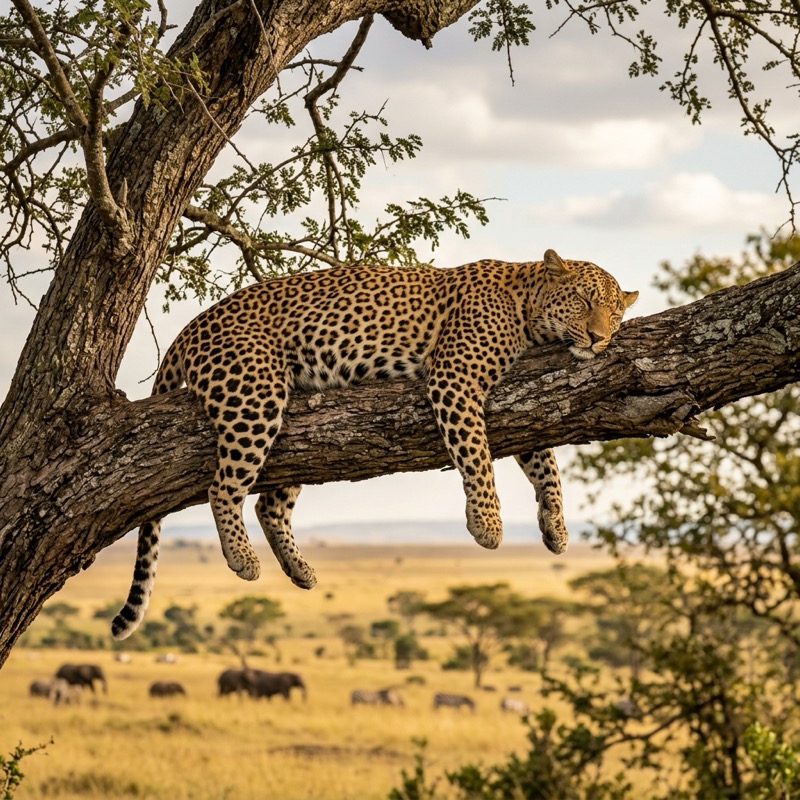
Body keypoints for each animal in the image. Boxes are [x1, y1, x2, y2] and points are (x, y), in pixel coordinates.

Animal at [111, 248, 637, 640]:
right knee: (224, 487)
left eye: (615, 311)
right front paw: (487, 524)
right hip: (254, 397)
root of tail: (190, 327)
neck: (527, 306)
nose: (600, 338)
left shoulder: (523, 406)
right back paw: (243, 559)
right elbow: (477, 456)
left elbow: (546, 465)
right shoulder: (456, 379)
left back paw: (300, 570)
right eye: (583, 299)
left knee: (268, 505)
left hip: (297, 439)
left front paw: (556, 527)